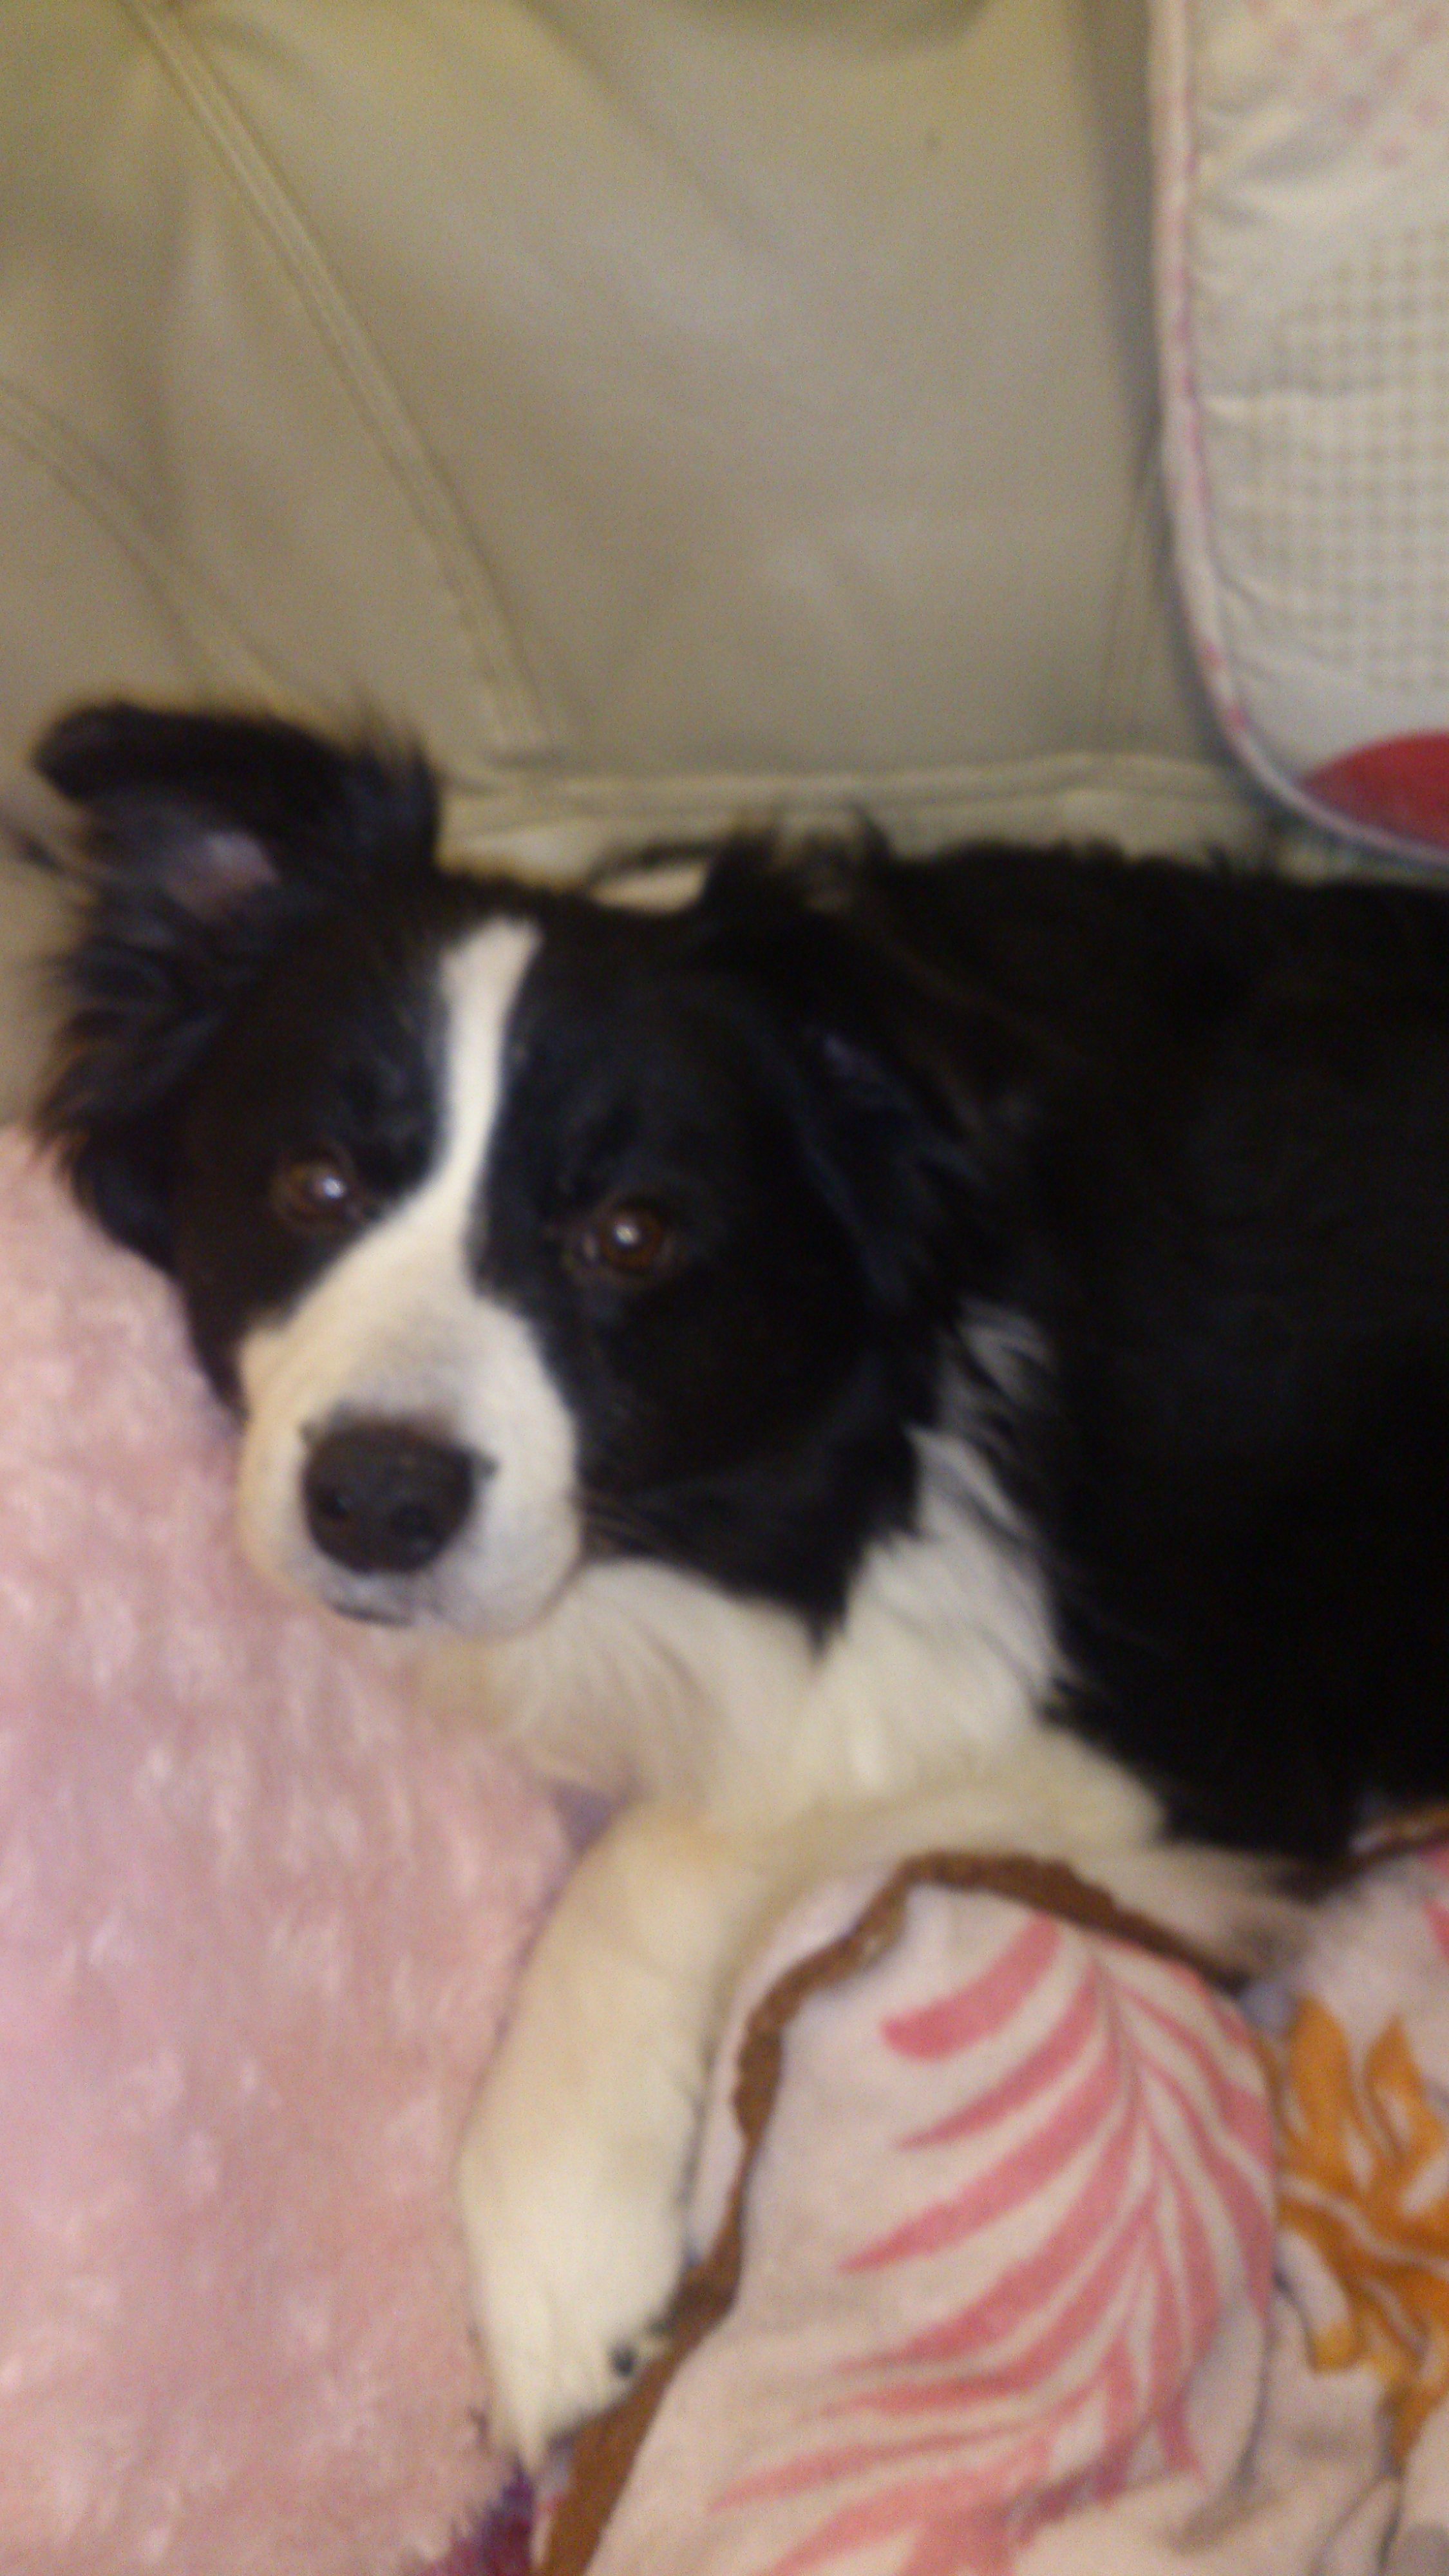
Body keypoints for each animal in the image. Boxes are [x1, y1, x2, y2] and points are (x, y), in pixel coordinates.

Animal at [26, 701, 1449, 2461]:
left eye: (632, 1235)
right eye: (314, 1185)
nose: (378, 1504)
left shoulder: (1184, 1751)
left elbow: (684, 1828)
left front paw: (556, 2244)